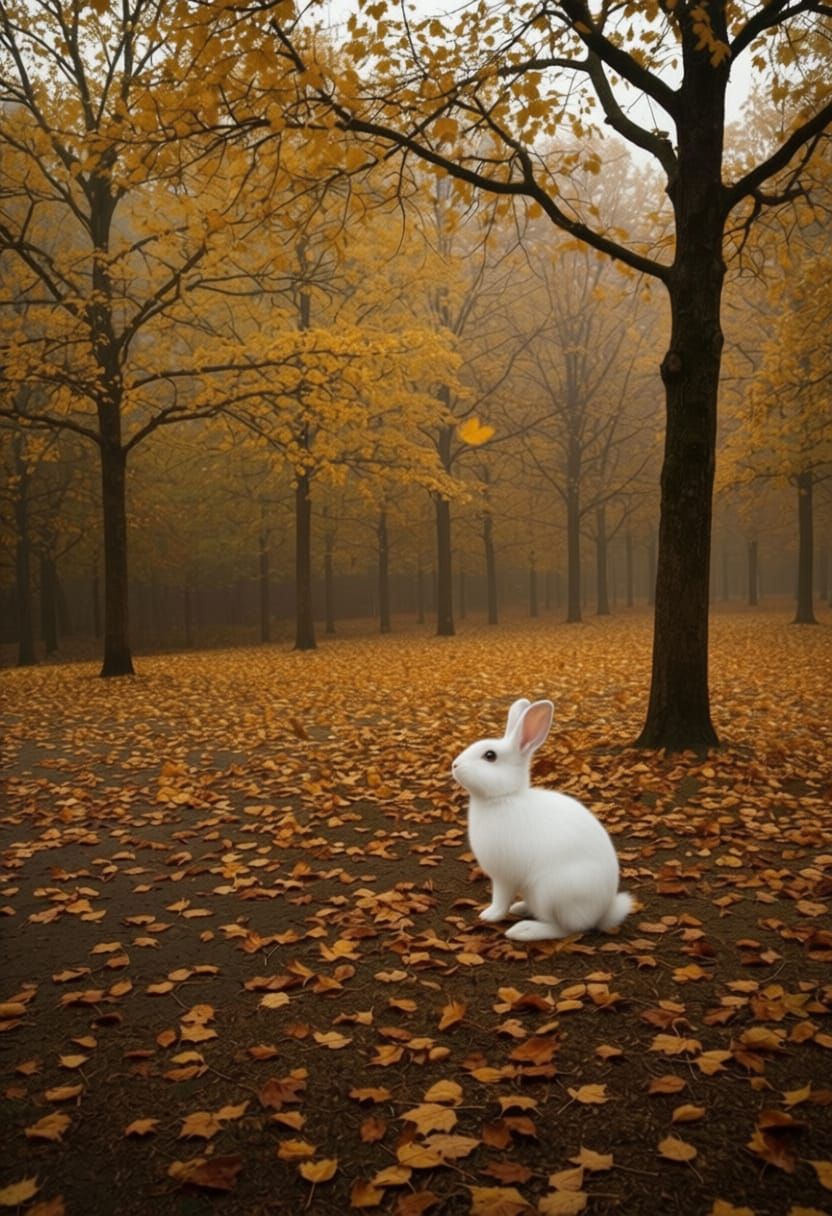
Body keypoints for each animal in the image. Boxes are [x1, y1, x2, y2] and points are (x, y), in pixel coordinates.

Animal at [451, 697, 633, 942]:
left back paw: (524, 930)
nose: (454, 765)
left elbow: (500, 899)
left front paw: (489, 915)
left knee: (568, 929)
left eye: (490, 756)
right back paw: (521, 908)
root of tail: (602, 912)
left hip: (552, 893)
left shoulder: (503, 876)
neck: (505, 797)